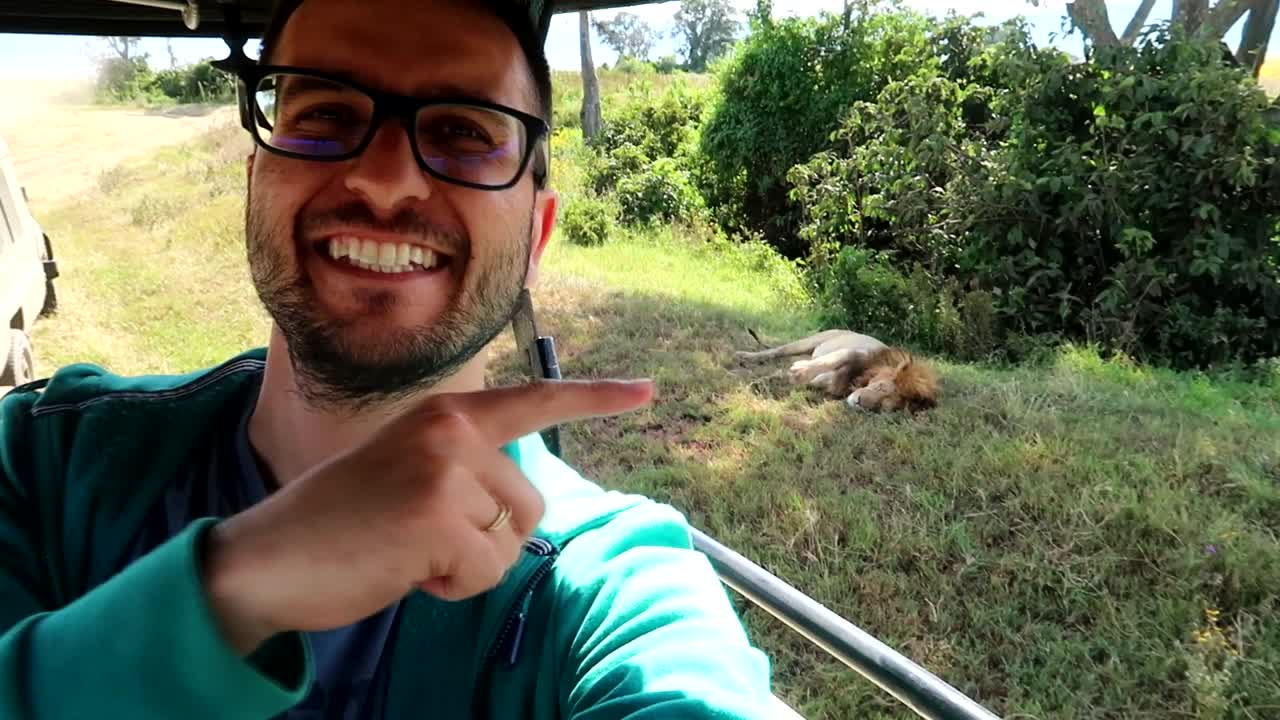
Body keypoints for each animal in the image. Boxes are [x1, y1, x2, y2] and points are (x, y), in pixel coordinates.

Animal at [735, 329, 939, 412]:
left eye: (882, 407)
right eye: (880, 387)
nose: (859, 403)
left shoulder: (825, 382)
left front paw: (765, 383)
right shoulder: (859, 353)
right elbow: (838, 357)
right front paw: (799, 371)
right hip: (810, 341)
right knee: (776, 351)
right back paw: (745, 356)